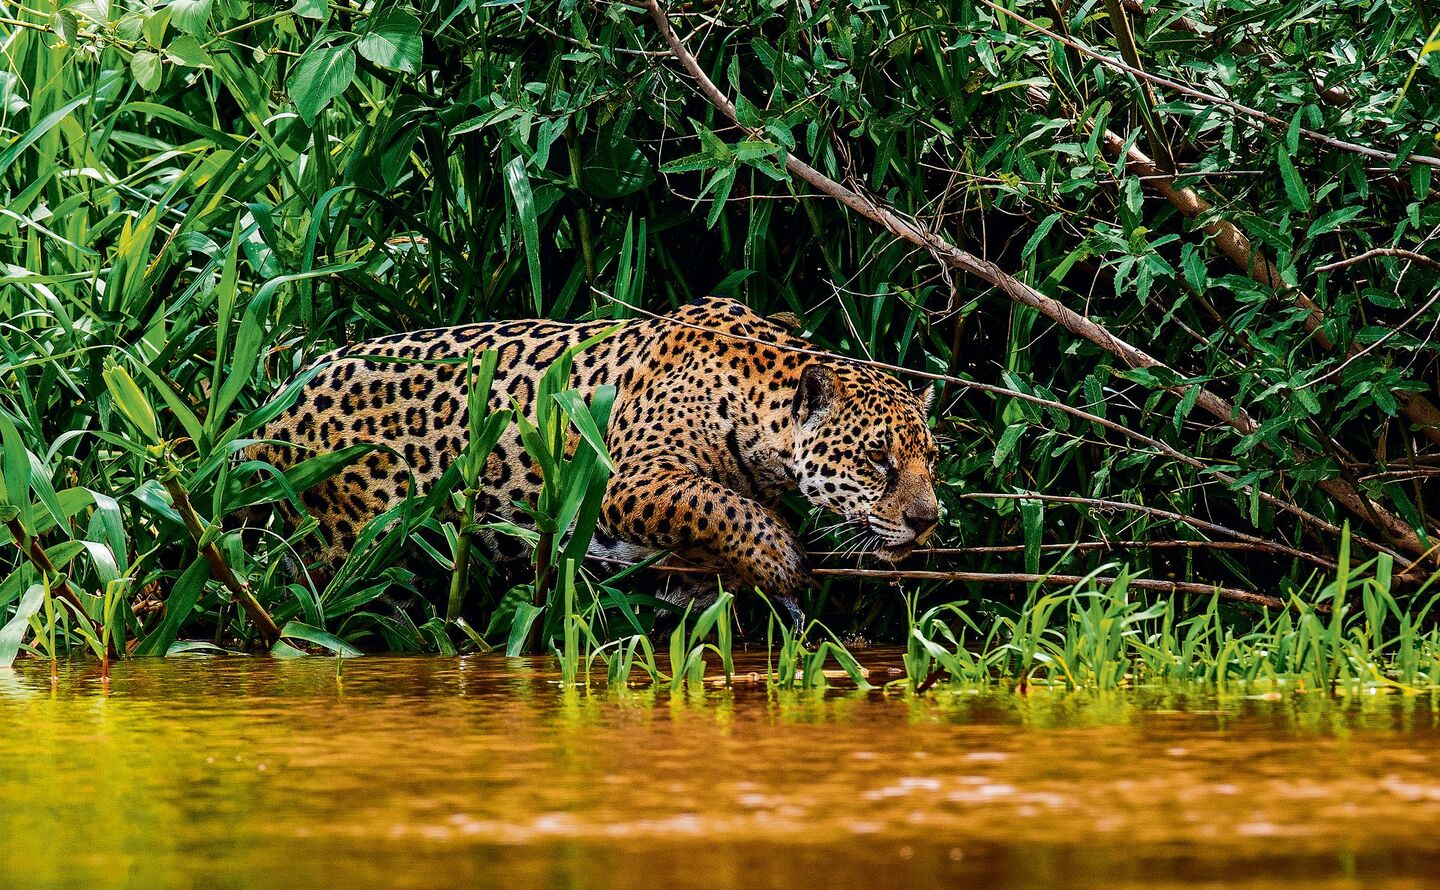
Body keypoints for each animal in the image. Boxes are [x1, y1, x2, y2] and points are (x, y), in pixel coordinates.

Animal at [247, 296, 940, 626]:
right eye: (877, 458)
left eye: (930, 460)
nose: (928, 521)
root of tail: (277, 403)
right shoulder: (627, 479)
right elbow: (721, 504)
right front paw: (781, 560)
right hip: (344, 552)